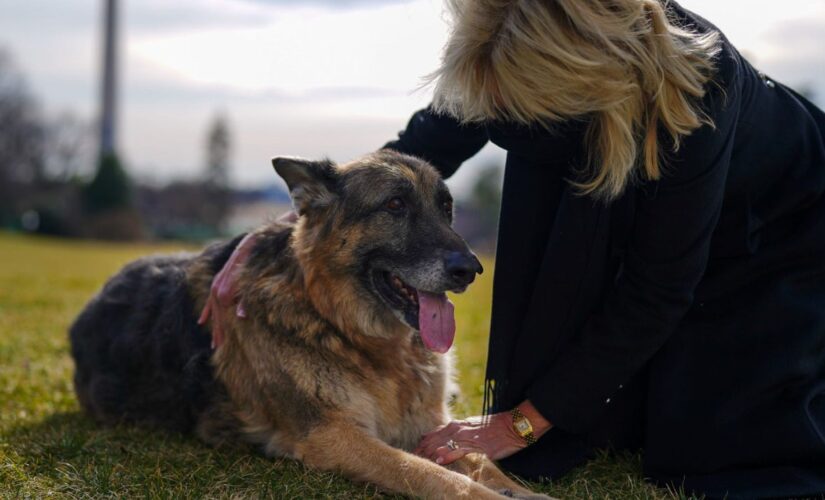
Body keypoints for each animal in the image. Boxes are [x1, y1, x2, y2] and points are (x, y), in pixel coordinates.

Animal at [69, 151, 548, 500]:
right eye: (394, 205)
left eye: (446, 208)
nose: (471, 270)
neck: (343, 327)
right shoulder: (333, 436)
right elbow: (434, 476)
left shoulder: (431, 426)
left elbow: (484, 464)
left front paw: (523, 492)